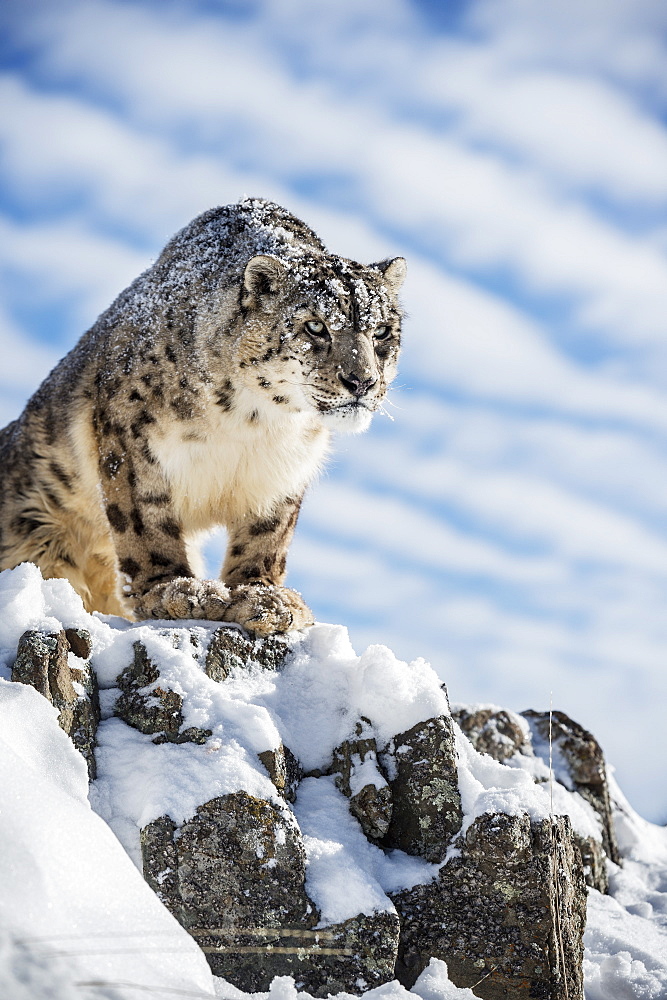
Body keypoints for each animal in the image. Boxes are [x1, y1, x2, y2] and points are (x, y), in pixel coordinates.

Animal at [0, 197, 408, 632]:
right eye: (315, 326)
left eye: (382, 331)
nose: (362, 381)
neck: (252, 423)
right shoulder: (130, 440)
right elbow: (145, 519)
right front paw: (175, 591)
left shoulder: (284, 468)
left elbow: (269, 533)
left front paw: (264, 598)